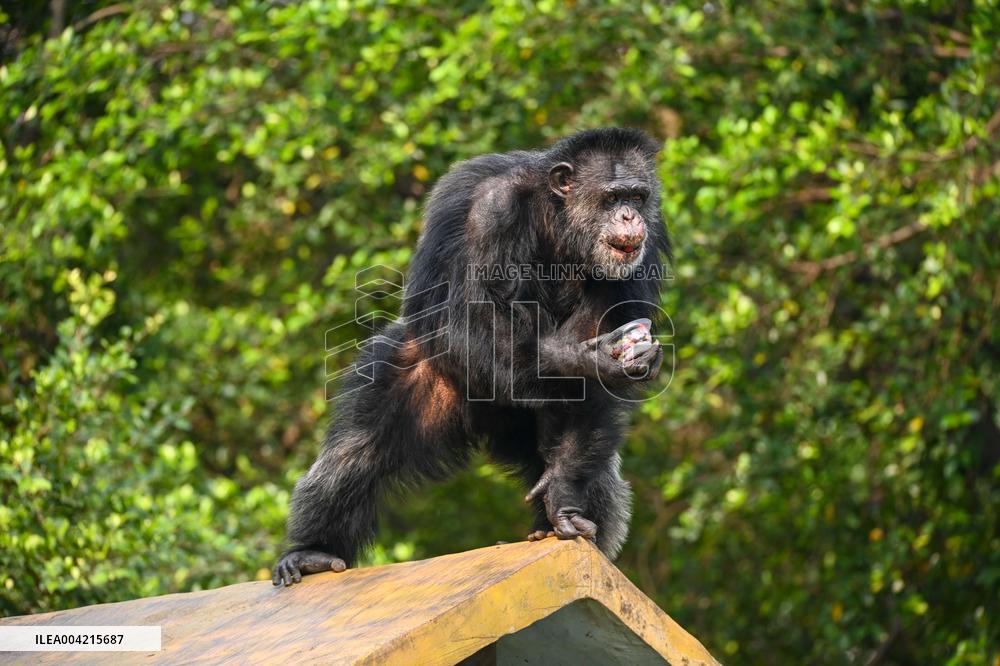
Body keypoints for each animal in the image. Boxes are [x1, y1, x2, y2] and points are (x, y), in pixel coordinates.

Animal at [273, 128, 669, 586]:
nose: (629, 217)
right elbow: (465, 318)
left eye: (638, 197)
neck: (558, 219)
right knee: (357, 451)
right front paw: (587, 359)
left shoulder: (644, 249)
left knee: (594, 463)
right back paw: (313, 551)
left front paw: (562, 490)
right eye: (611, 197)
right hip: (426, 371)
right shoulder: (490, 211)